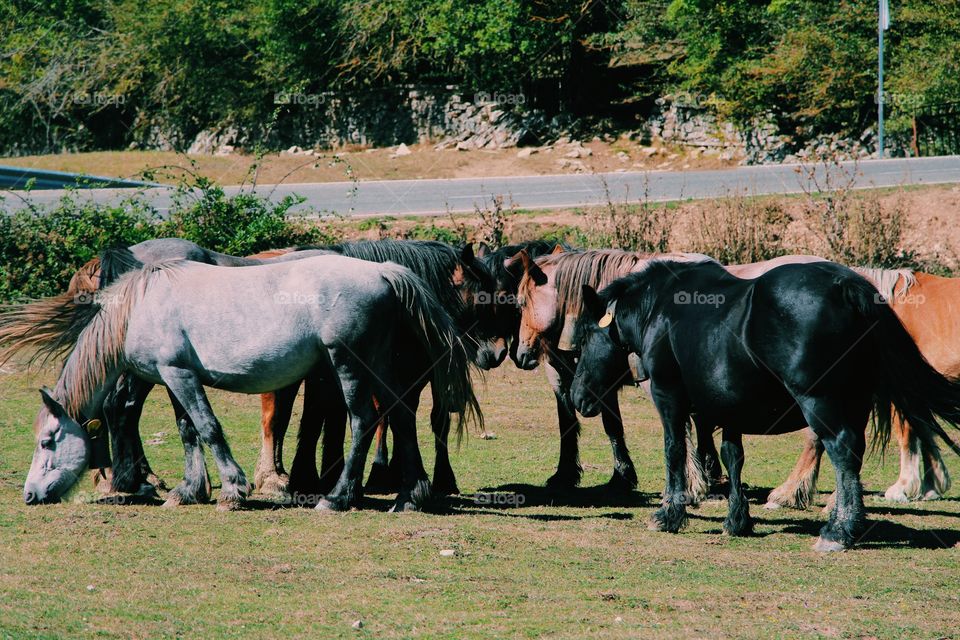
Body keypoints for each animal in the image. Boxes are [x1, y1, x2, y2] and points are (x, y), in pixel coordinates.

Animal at [23, 254, 480, 513]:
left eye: (47, 441)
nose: (29, 495)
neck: (140, 306)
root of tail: (384, 272)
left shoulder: (180, 375)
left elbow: (208, 428)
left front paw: (232, 491)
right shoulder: (173, 377)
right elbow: (188, 431)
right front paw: (188, 491)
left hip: (348, 363)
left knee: (364, 420)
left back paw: (337, 498)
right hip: (378, 365)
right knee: (400, 414)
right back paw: (409, 497)